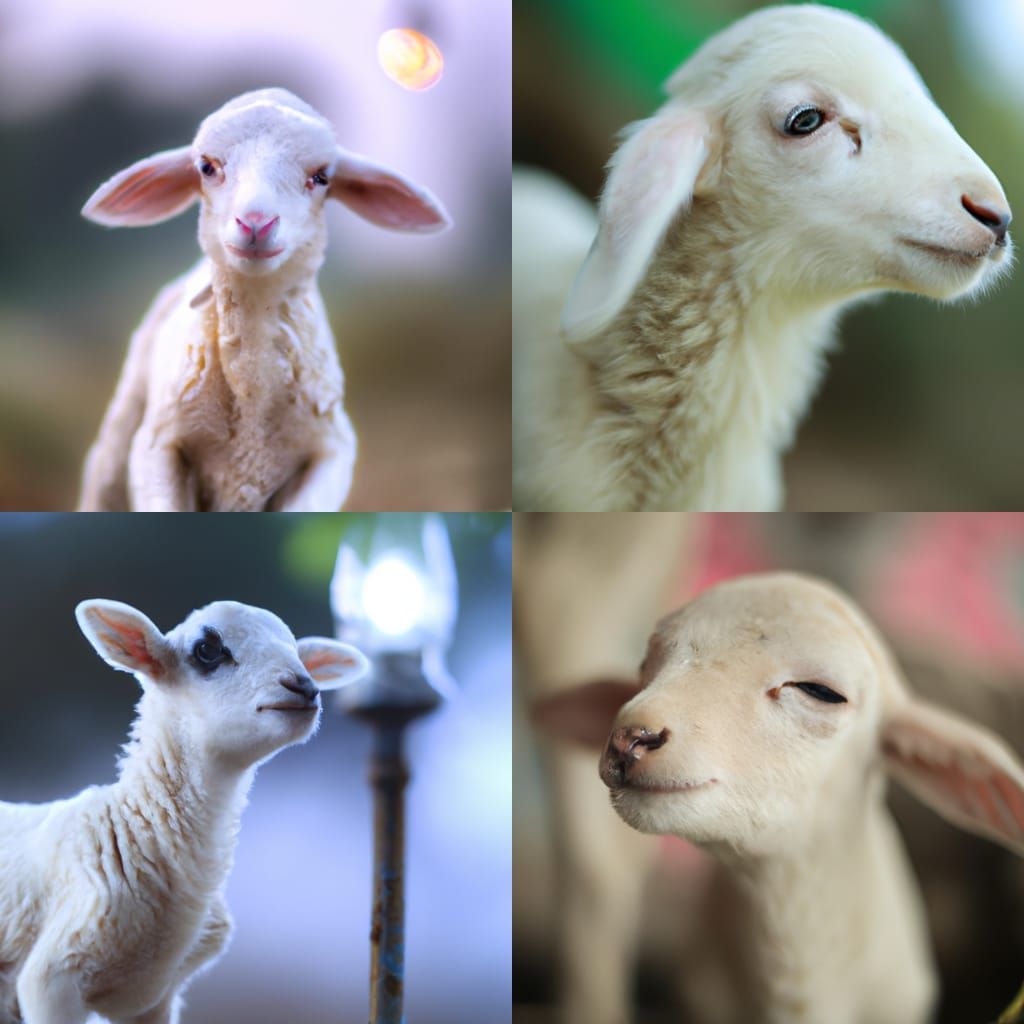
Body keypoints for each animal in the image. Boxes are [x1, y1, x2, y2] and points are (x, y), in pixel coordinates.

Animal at [77, 88, 450, 512]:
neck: (253, 397)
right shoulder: (156, 445)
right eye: (206, 167)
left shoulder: (334, 451)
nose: (256, 222)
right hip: (121, 432)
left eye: (321, 177)